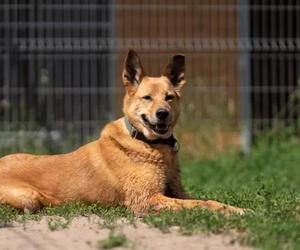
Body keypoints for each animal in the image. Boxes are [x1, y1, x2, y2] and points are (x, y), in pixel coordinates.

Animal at [0, 49, 246, 214]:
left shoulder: (176, 192)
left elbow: (208, 200)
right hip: (28, 197)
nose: (162, 114)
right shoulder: (147, 199)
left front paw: (238, 210)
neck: (150, 144)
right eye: (147, 97)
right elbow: (199, 204)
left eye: (169, 97)